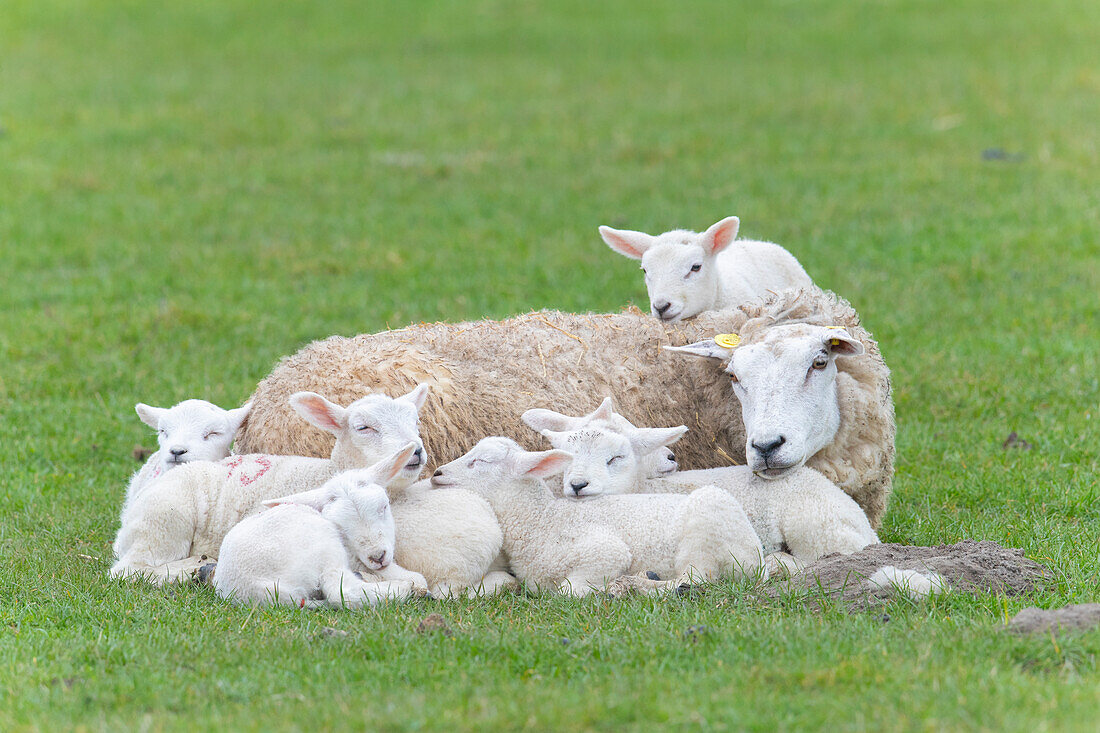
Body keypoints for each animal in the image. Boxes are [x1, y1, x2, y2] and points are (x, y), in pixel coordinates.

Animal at [212, 449, 426, 607]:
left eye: (384, 506)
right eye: (341, 528)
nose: (378, 557)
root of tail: (254, 587)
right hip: (323, 546)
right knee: (339, 590)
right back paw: (402, 588)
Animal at [429, 433, 765, 594]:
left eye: (481, 461)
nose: (437, 473)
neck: (542, 520)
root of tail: (757, 555)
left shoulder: (604, 551)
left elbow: (569, 590)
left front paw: (609, 588)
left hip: (708, 524)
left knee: (695, 578)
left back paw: (638, 584)